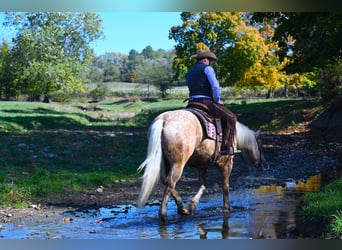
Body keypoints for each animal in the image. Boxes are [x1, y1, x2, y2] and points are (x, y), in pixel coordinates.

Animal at [136, 109, 264, 223]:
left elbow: (204, 185)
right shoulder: (227, 164)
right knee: (170, 182)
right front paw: (227, 208)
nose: (260, 163)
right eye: (259, 145)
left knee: (165, 181)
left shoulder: (202, 166)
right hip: (178, 164)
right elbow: (226, 186)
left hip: (165, 162)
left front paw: (193, 204)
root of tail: (163, 120)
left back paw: (183, 209)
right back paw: (163, 216)